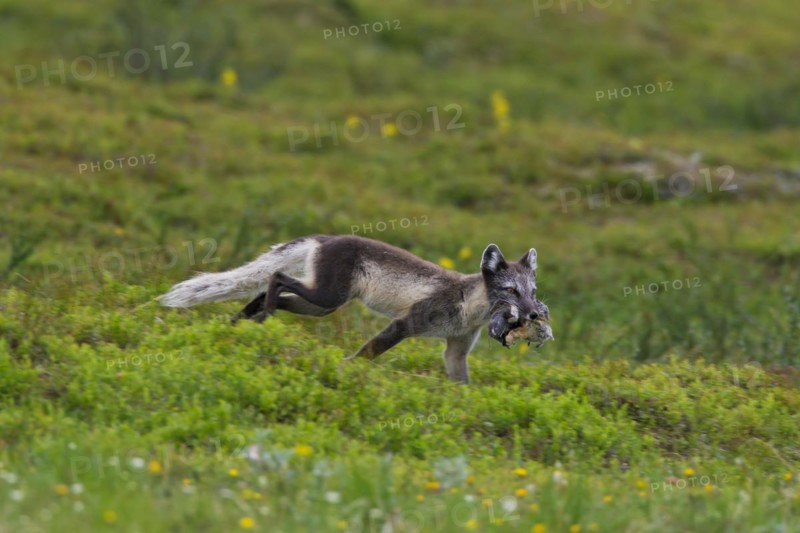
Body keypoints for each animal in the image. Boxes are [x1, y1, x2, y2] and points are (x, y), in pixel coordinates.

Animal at [157, 235, 552, 384]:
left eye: (532, 293)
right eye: (510, 291)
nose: (534, 315)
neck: (469, 308)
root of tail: (324, 238)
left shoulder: (456, 349)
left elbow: (462, 382)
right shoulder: (406, 323)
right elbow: (369, 352)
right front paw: (348, 368)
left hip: (320, 306)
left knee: (271, 291)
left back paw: (241, 322)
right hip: (327, 296)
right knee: (277, 278)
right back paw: (262, 315)